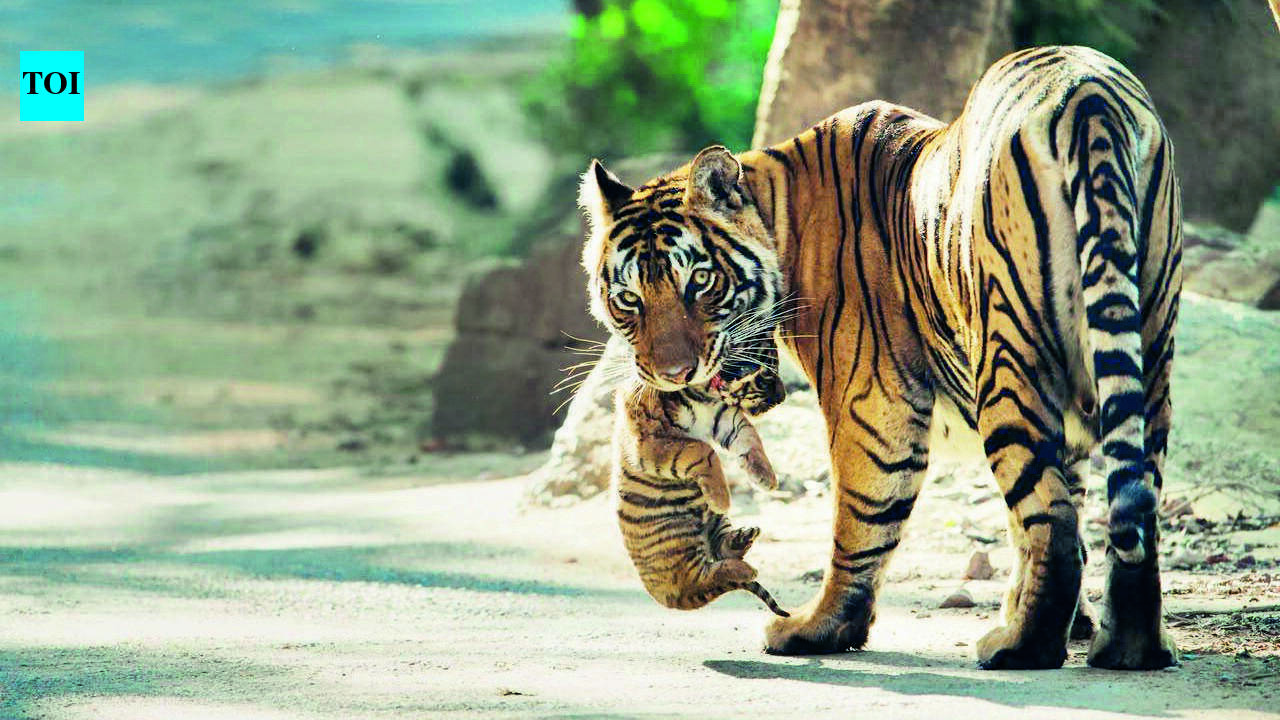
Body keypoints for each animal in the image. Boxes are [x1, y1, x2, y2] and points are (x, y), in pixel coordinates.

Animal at [613, 360, 789, 616]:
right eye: (767, 375)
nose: (782, 396)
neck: (702, 394)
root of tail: (665, 599)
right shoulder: (651, 440)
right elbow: (702, 449)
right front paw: (723, 497)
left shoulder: (724, 417)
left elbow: (750, 436)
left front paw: (766, 477)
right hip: (675, 543)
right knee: (702, 578)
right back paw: (747, 570)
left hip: (713, 520)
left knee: (721, 551)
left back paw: (744, 537)